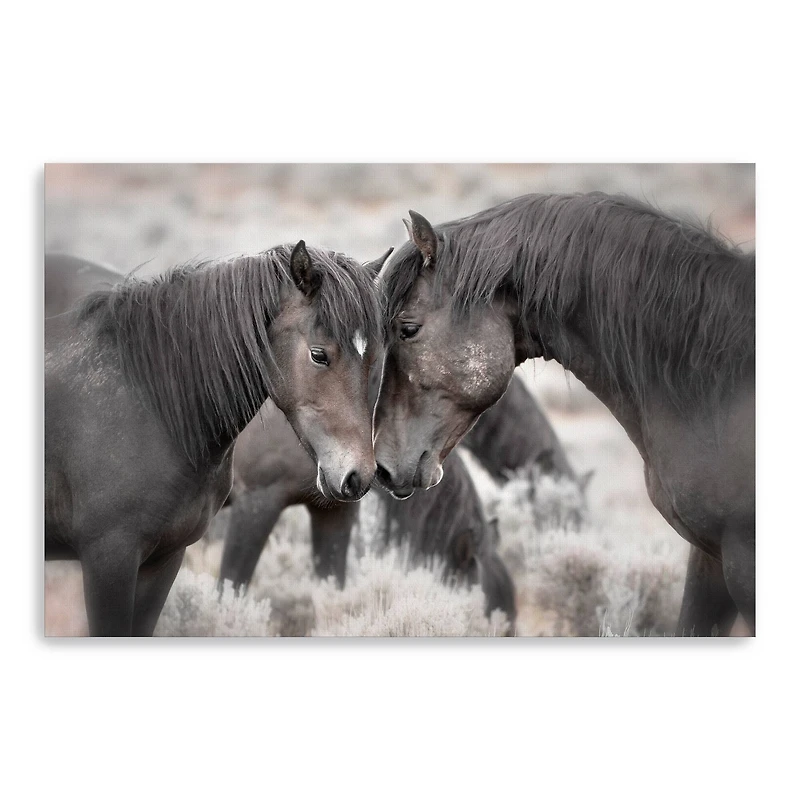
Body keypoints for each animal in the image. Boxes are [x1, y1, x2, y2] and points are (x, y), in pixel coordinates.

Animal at [45, 243, 384, 635]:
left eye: (374, 360)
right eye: (318, 354)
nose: (358, 475)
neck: (149, 406)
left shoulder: (165, 557)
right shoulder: (110, 558)